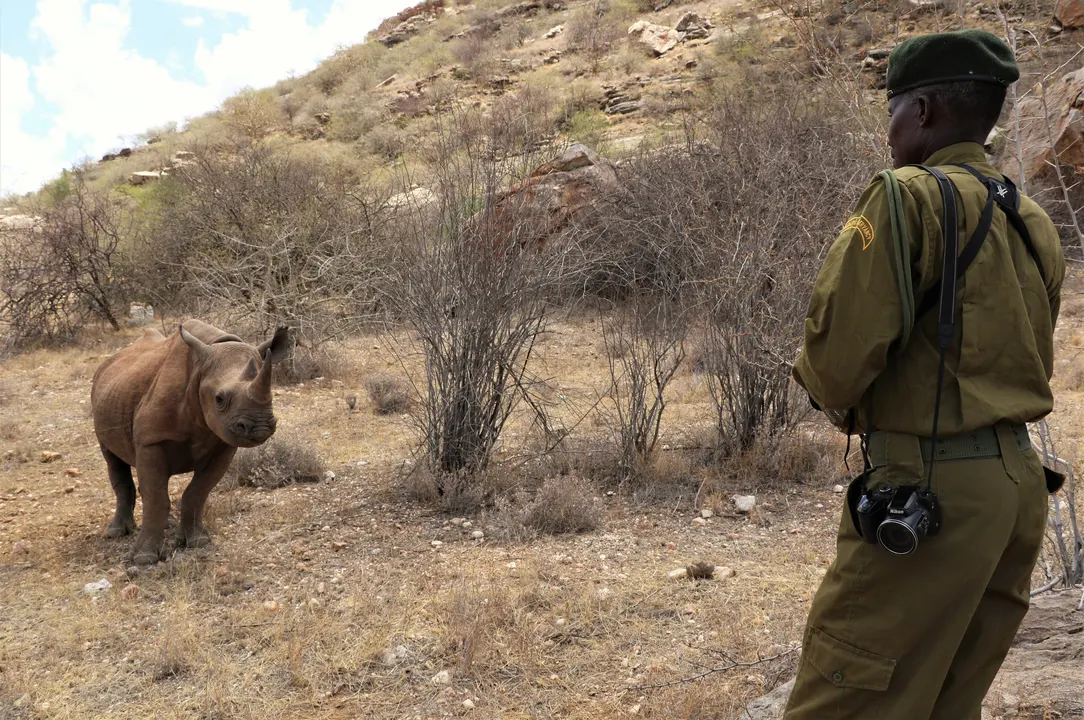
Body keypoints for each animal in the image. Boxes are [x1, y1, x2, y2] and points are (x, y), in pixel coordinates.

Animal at [91, 319, 290, 565]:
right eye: (219, 399)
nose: (261, 427)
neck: (199, 369)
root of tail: (108, 362)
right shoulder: (151, 441)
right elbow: (157, 498)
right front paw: (144, 559)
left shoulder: (224, 445)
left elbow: (197, 492)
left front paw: (197, 542)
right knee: (113, 459)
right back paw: (115, 533)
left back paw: (166, 525)